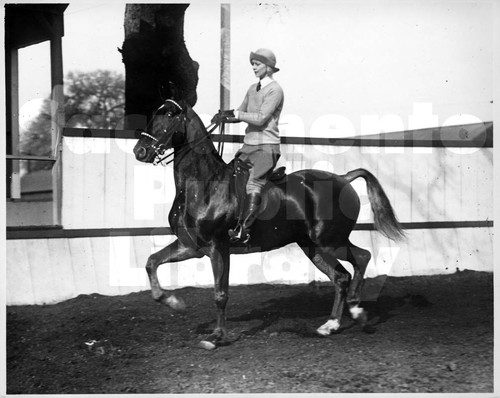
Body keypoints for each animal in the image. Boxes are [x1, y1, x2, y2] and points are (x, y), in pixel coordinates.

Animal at [134, 98, 406, 346]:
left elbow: (221, 293)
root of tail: (343, 178)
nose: (140, 151)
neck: (204, 186)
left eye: (169, 115)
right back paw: (331, 324)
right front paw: (174, 302)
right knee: (340, 277)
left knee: (361, 258)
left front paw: (216, 336)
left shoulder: (217, 247)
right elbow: (151, 262)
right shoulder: (191, 246)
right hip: (312, 246)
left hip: (330, 241)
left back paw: (357, 311)